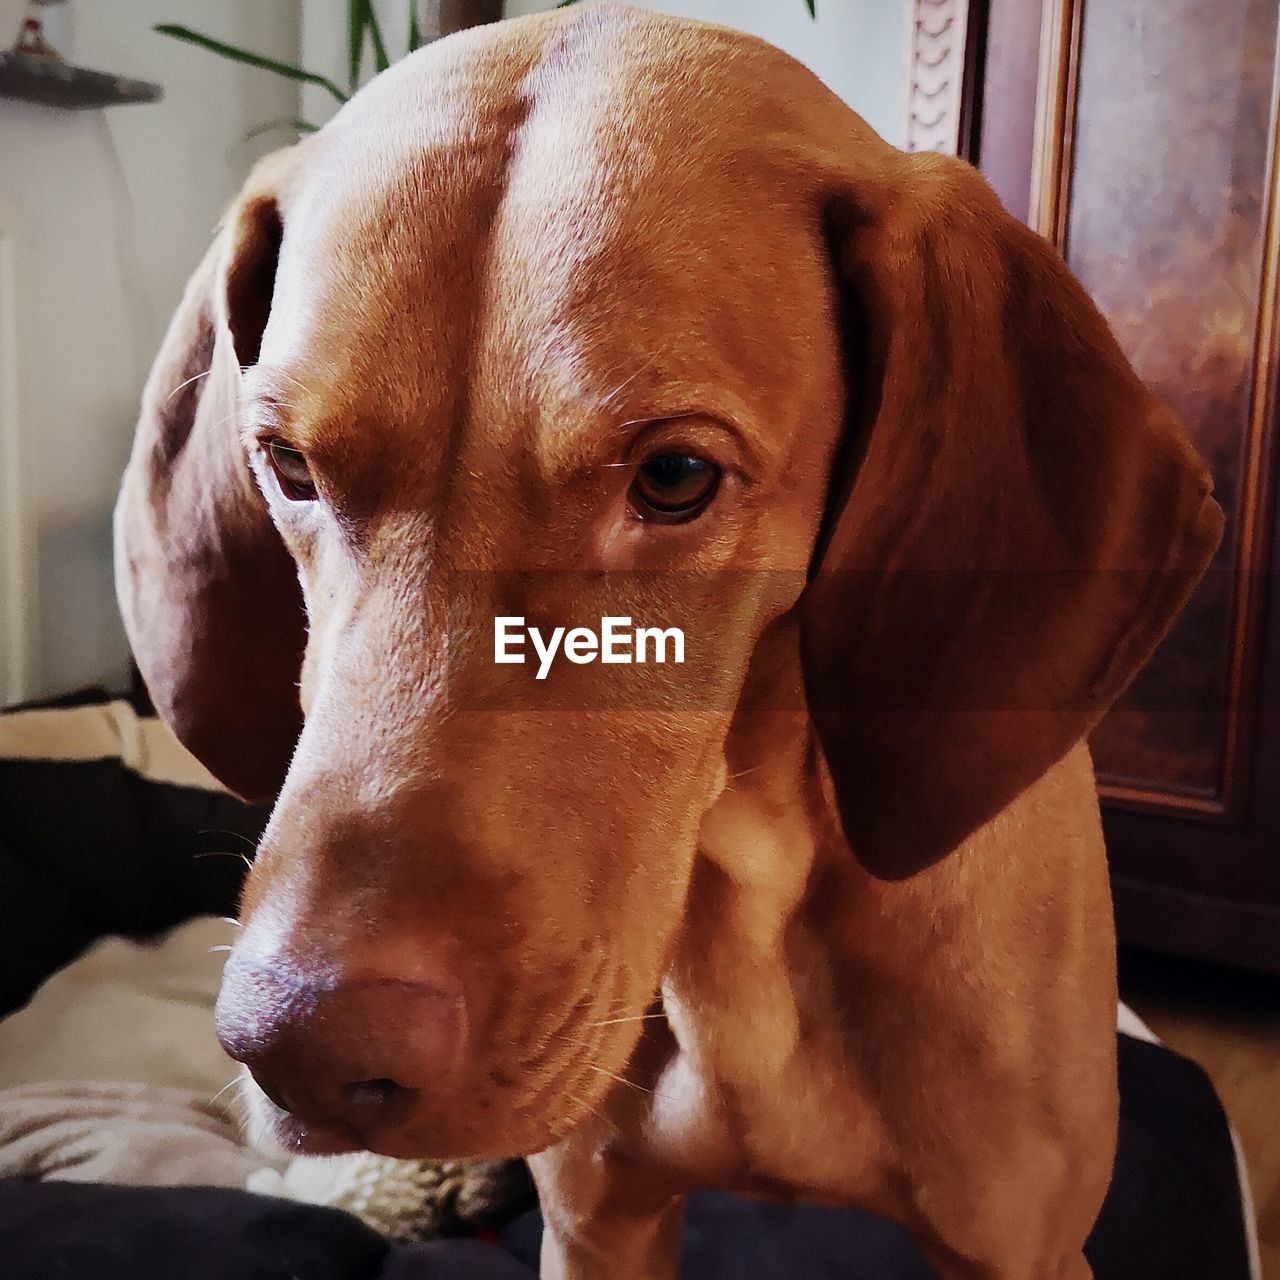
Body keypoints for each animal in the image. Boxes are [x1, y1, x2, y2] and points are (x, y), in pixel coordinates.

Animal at [115, 5, 1223, 1274]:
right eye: (289, 467)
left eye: (675, 475)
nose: (303, 1049)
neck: (751, 902)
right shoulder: (600, 1222)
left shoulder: (1014, 1245)